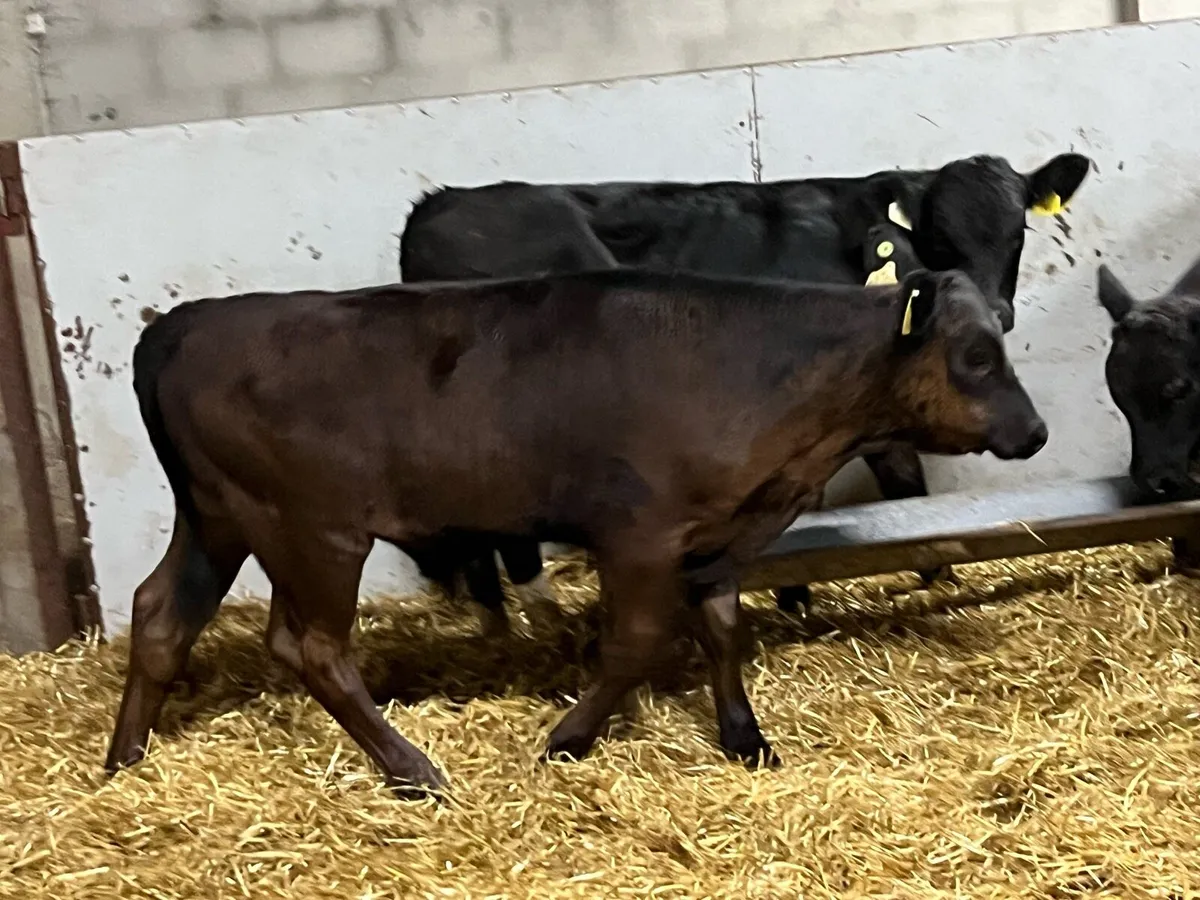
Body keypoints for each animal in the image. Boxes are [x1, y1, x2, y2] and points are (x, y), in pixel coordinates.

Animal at [106, 263, 1047, 794]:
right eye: (975, 355)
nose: (1033, 431)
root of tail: (183, 322)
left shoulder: (718, 538)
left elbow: (722, 632)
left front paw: (745, 739)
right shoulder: (640, 534)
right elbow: (634, 644)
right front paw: (566, 739)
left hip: (221, 516)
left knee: (162, 614)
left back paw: (125, 759)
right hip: (313, 529)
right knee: (312, 648)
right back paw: (414, 770)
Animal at [397, 152, 1090, 621]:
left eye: (1018, 230)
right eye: (940, 235)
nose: (995, 309)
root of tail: (437, 203)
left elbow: (905, 487)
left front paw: (936, 577)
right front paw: (796, 597)